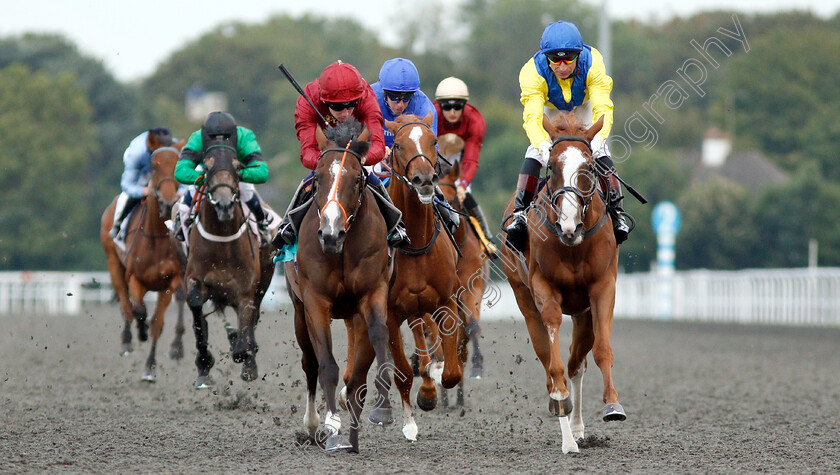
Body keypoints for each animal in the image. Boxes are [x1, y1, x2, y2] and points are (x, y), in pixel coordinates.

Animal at [100, 141, 187, 384]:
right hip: (113, 263)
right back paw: (128, 340)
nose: (168, 201)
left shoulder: (170, 281)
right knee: (125, 304)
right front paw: (141, 331)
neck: (156, 238)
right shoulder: (134, 278)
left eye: (176, 165)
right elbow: (138, 309)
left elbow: (158, 323)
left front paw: (151, 366)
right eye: (154, 167)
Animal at [184, 139, 276, 388]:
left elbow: (246, 326)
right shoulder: (196, 279)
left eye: (237, 167)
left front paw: (246, 357)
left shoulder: (245, 290)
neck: (222, 242)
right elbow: (195, 306)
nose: (224, 204)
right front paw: (204, 362)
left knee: (253, 317)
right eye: (206, 167)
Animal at [282, 119, 394, 454]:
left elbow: (380, 338)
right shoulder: (315, 301)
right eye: (318, 178)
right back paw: (313, 425)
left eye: (357, 178)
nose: (331, 233)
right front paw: (331, 424)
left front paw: (383, 408)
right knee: (310, 363)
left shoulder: (373, 293)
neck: (341, 250)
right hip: (299, 312)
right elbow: (326, 365)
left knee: (357, 374)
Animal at [498, 111, 624, 454]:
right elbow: (553, 358)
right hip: (524, 298)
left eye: (589, 168)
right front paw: (560, 403)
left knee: (575, 363)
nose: (570, 226)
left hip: (582, 313)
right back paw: (567, 433)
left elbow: (602, 349)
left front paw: (612, 405)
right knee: (550, 362)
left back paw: (577, 430)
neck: (572, 245)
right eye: (552, 166)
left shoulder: (602, 288)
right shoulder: (543, 287)